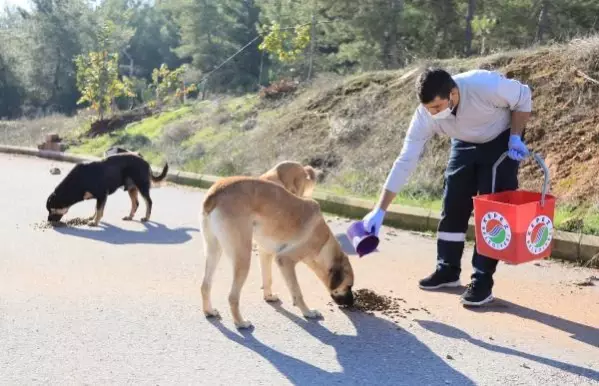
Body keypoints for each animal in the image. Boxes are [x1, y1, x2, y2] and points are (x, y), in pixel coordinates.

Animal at [199, 175, 354, 328]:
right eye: (348, 286)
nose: (352, 303)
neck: (324, 243)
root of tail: (216, 192)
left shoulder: (265, 252)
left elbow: (268, 279)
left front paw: (268, 297)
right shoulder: (285, 260)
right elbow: (297, 291)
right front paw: (307, 312)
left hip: (214, 251)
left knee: (205, 285)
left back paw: (209, 311)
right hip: (242, 258)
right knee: (232, 297)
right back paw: (240, 323)